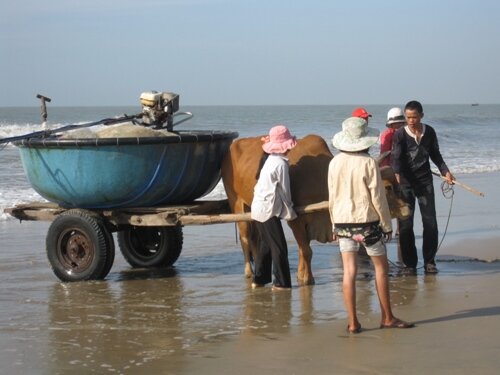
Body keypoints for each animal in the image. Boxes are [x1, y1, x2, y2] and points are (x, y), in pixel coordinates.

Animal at [222, 135, 332, 284]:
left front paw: (300, 275)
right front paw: (307, 279)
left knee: (255, 239)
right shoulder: (296, 220)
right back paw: (249, 272)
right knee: (245, 238)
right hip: (237, 205)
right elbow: (306, 251)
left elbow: (302, 249)